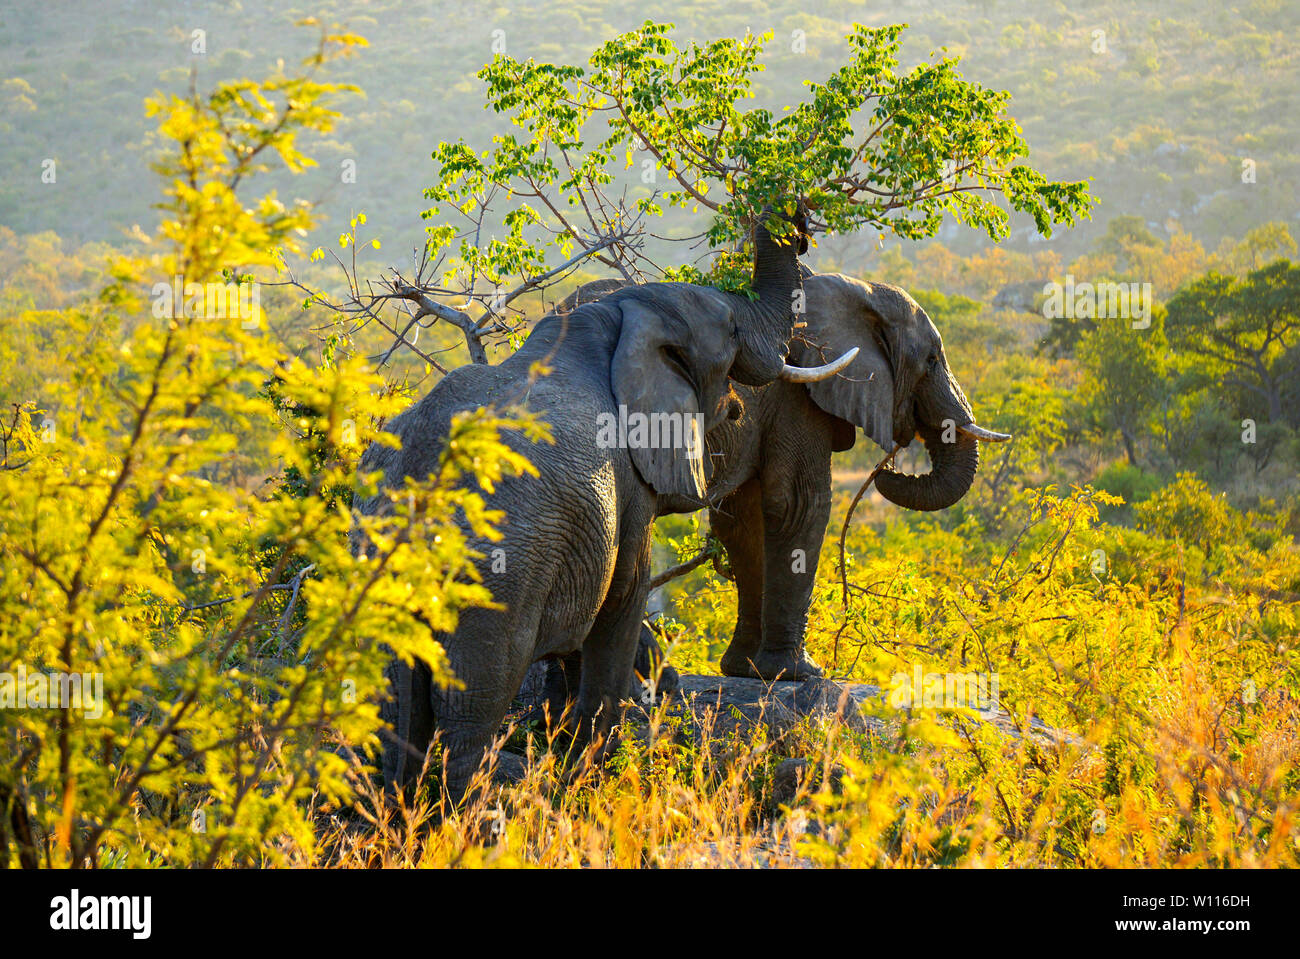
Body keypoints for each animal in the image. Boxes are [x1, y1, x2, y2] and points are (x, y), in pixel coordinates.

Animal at [351, 214, 857, 800]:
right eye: (732, 329)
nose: (800, 223)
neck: (615, 320)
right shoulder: (627, 484)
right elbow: (622, 595)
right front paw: (585, 777)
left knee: (395, 709)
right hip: (496, 570)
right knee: (470, 707)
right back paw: (472, 813)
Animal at [543, 267, 1008, 686]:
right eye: (931, 360)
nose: (888, 469)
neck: (852, 288)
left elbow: (743, 524)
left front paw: (745, 670)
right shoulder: (797, 396)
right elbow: (797, 507)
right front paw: (799, 673)